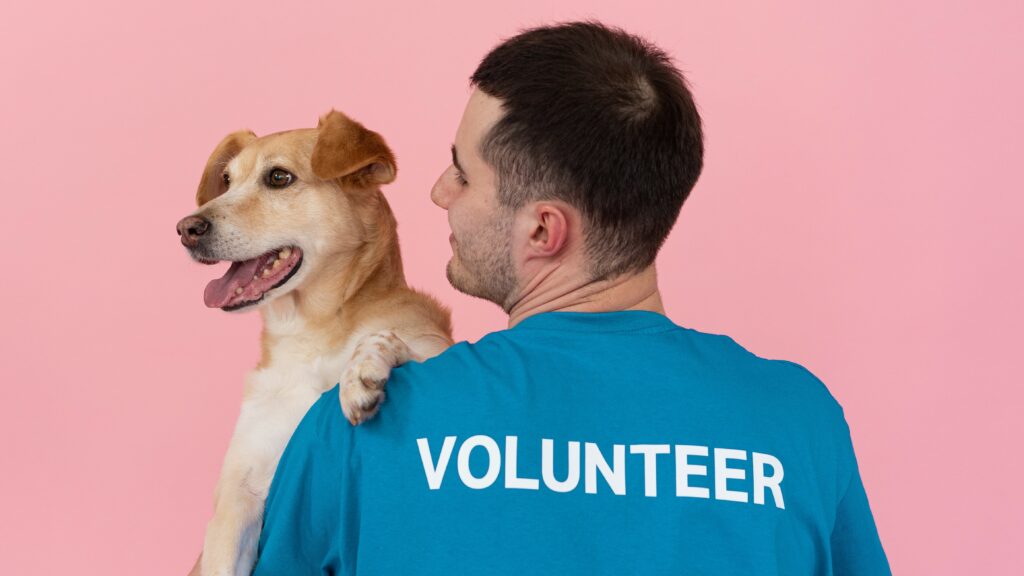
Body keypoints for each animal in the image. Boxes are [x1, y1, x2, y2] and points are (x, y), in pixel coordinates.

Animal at [176, 108, 452, 573]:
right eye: (227, 181)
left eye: (279, 178)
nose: (186, 228)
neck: (307, 335)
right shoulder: (237, 498)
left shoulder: (437, 343)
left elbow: (391, 338)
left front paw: (360, 375)